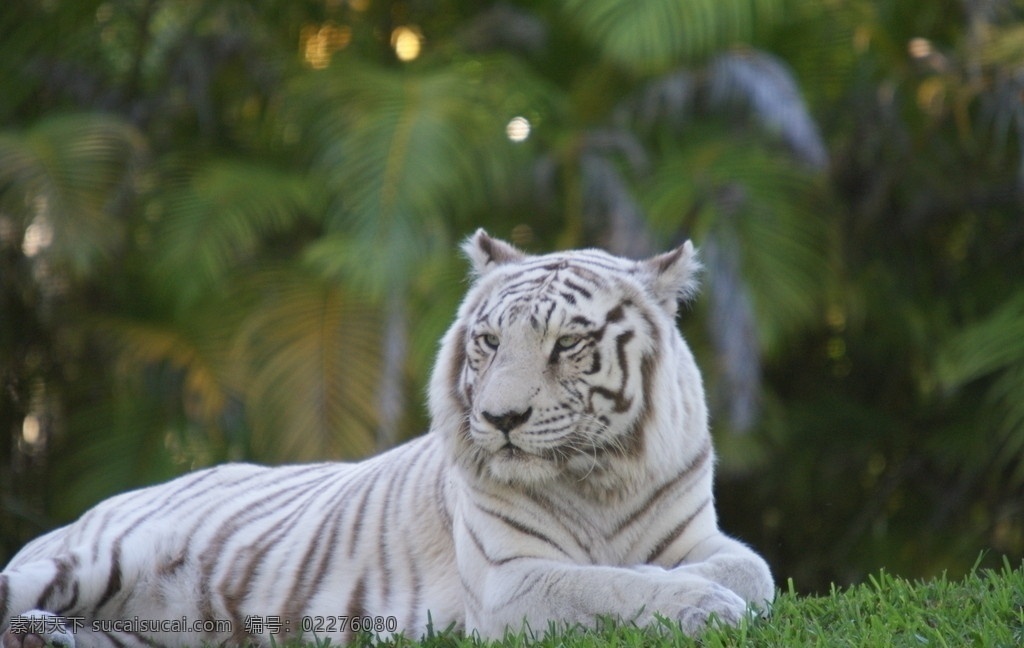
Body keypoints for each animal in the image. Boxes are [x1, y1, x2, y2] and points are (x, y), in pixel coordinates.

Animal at [0, 232, 770, 646]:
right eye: (490, 342)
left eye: (568, 345)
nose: (500, 419)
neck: (598, 477)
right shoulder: (511, 582)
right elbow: (607, 585)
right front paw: (693, 601)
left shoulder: (699, 535)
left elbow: (753, 573)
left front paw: (697, 586)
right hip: (85, 560)